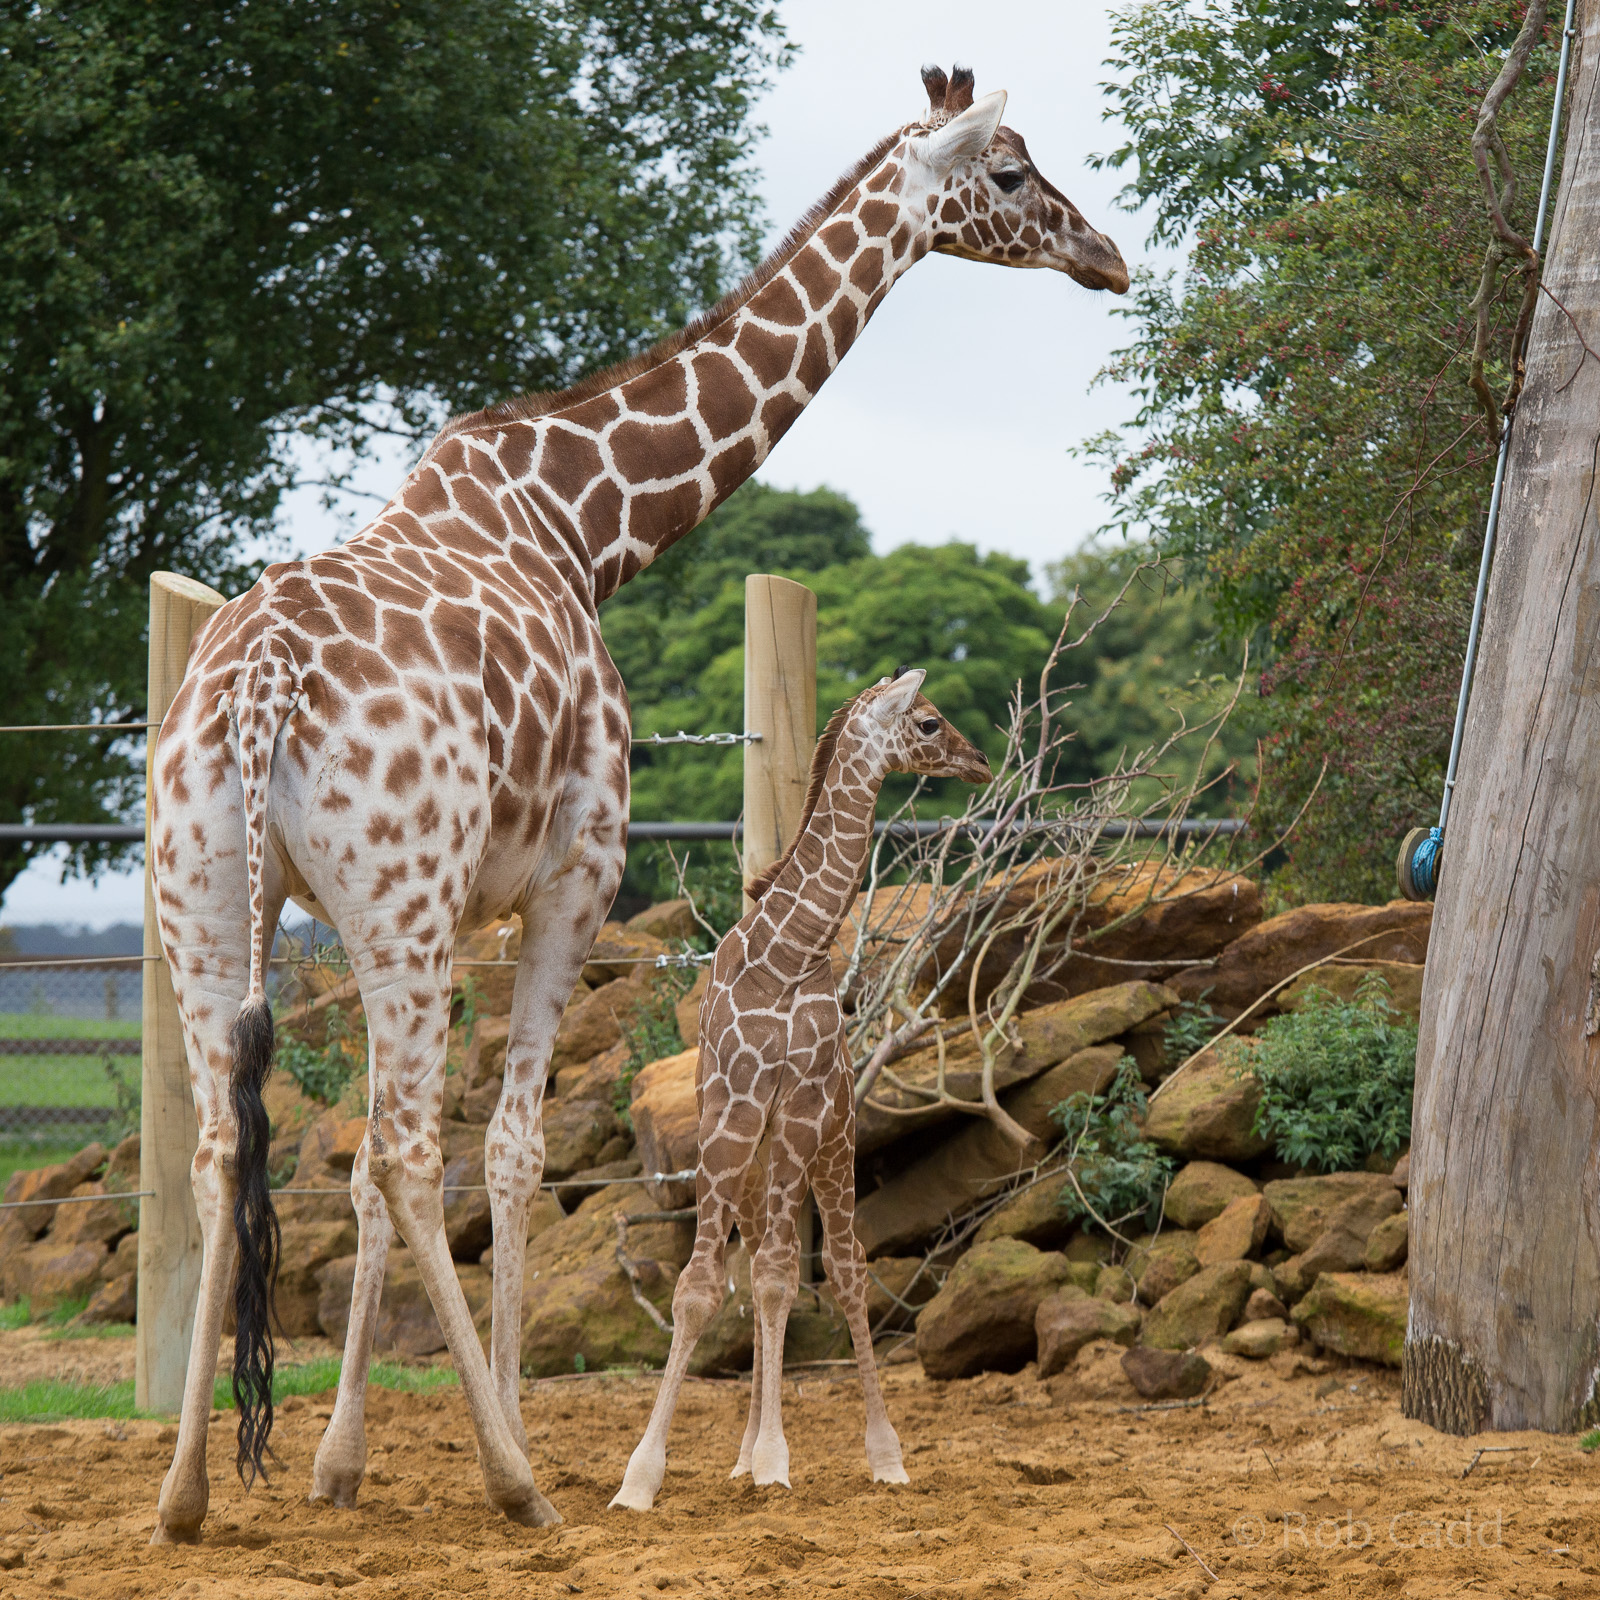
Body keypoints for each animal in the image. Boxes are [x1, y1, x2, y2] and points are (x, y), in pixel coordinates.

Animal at [611, 671, 991, 1511]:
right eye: (928, 721)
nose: (979, 760)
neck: (792, 950)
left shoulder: (799, 1110)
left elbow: (787, 1283)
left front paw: (775, 1462)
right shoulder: (730, 1114)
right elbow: (702, 1288)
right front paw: (641, 1478)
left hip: (835, 1146)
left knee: (843, 1271)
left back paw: (883, 1456)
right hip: (757, 1170)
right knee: (756, 1271)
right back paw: (741, 1456)